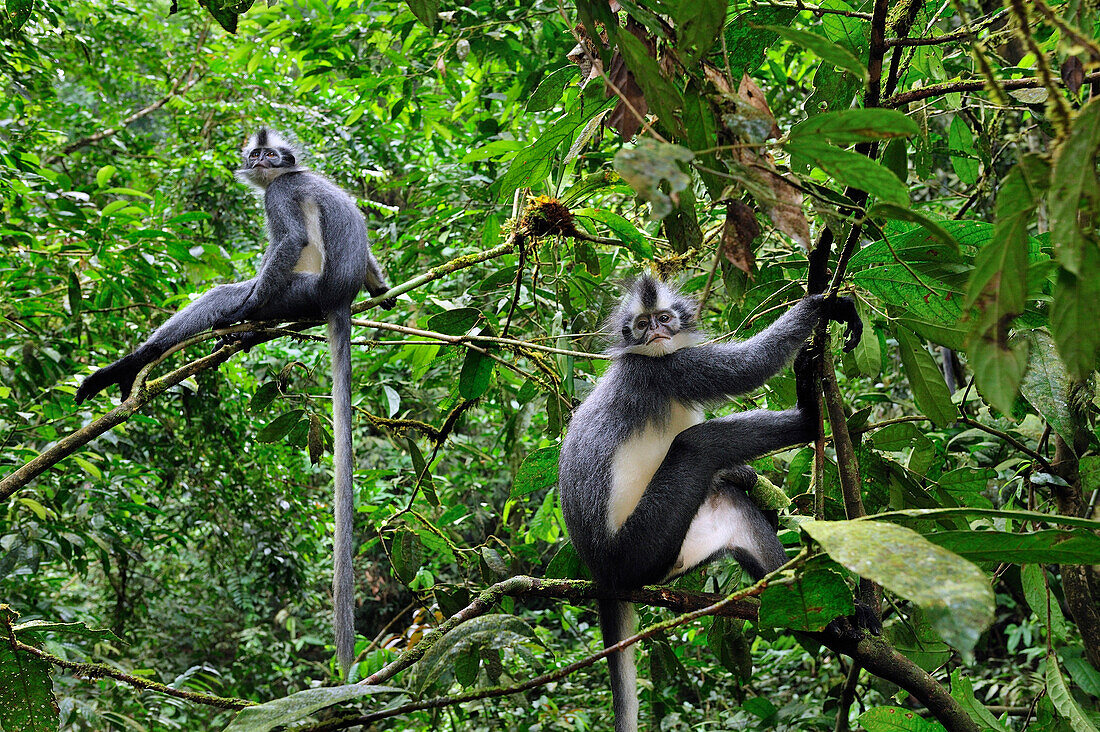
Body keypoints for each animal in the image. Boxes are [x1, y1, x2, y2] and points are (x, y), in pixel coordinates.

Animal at [78, 127, 404, 678]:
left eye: (271, 156)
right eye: (256, 154)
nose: (261, 161)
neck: (291, 174)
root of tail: (336, 298)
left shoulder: (282, 195)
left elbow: (288, 243)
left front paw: (240, 314)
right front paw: (383, 289)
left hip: (298, 292)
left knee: (232, 291)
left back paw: (166, 351)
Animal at [563, 274, 862, 730]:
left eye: (664, 319)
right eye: (643, 324)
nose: (657, 333)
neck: (650, 354)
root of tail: (601, 572)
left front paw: (743, 476)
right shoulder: (667, 370)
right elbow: (750, 366)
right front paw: (820, 306)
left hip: (675, 553)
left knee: (730, 504)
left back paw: (831, 625)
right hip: (638, 548)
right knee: (696, 444)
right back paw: (808, 418)